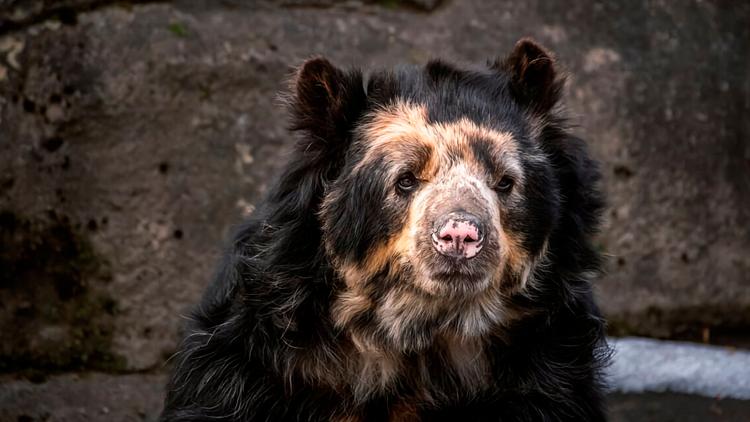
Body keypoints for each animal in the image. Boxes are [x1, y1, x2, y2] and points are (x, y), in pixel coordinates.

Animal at [163, 38, 612, 420]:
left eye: (504, 182)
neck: (416, 333)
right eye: (405, 180)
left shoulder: (550, 372)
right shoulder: (246, 367)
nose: (460, 236)